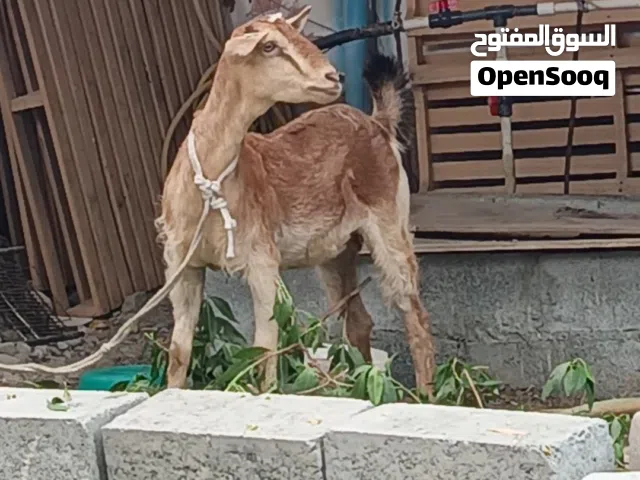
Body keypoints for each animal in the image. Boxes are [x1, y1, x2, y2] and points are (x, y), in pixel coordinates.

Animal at [157, 6, 436, 398]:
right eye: (269, 46)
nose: (334, 77)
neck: (211, 184)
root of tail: (377, 123)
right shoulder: (182, 268)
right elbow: (179, 352)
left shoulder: (261, 262)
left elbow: (264, 350)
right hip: (337, 252)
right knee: (359, 322)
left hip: (389, 225)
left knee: (414, 313)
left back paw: (430, 394)